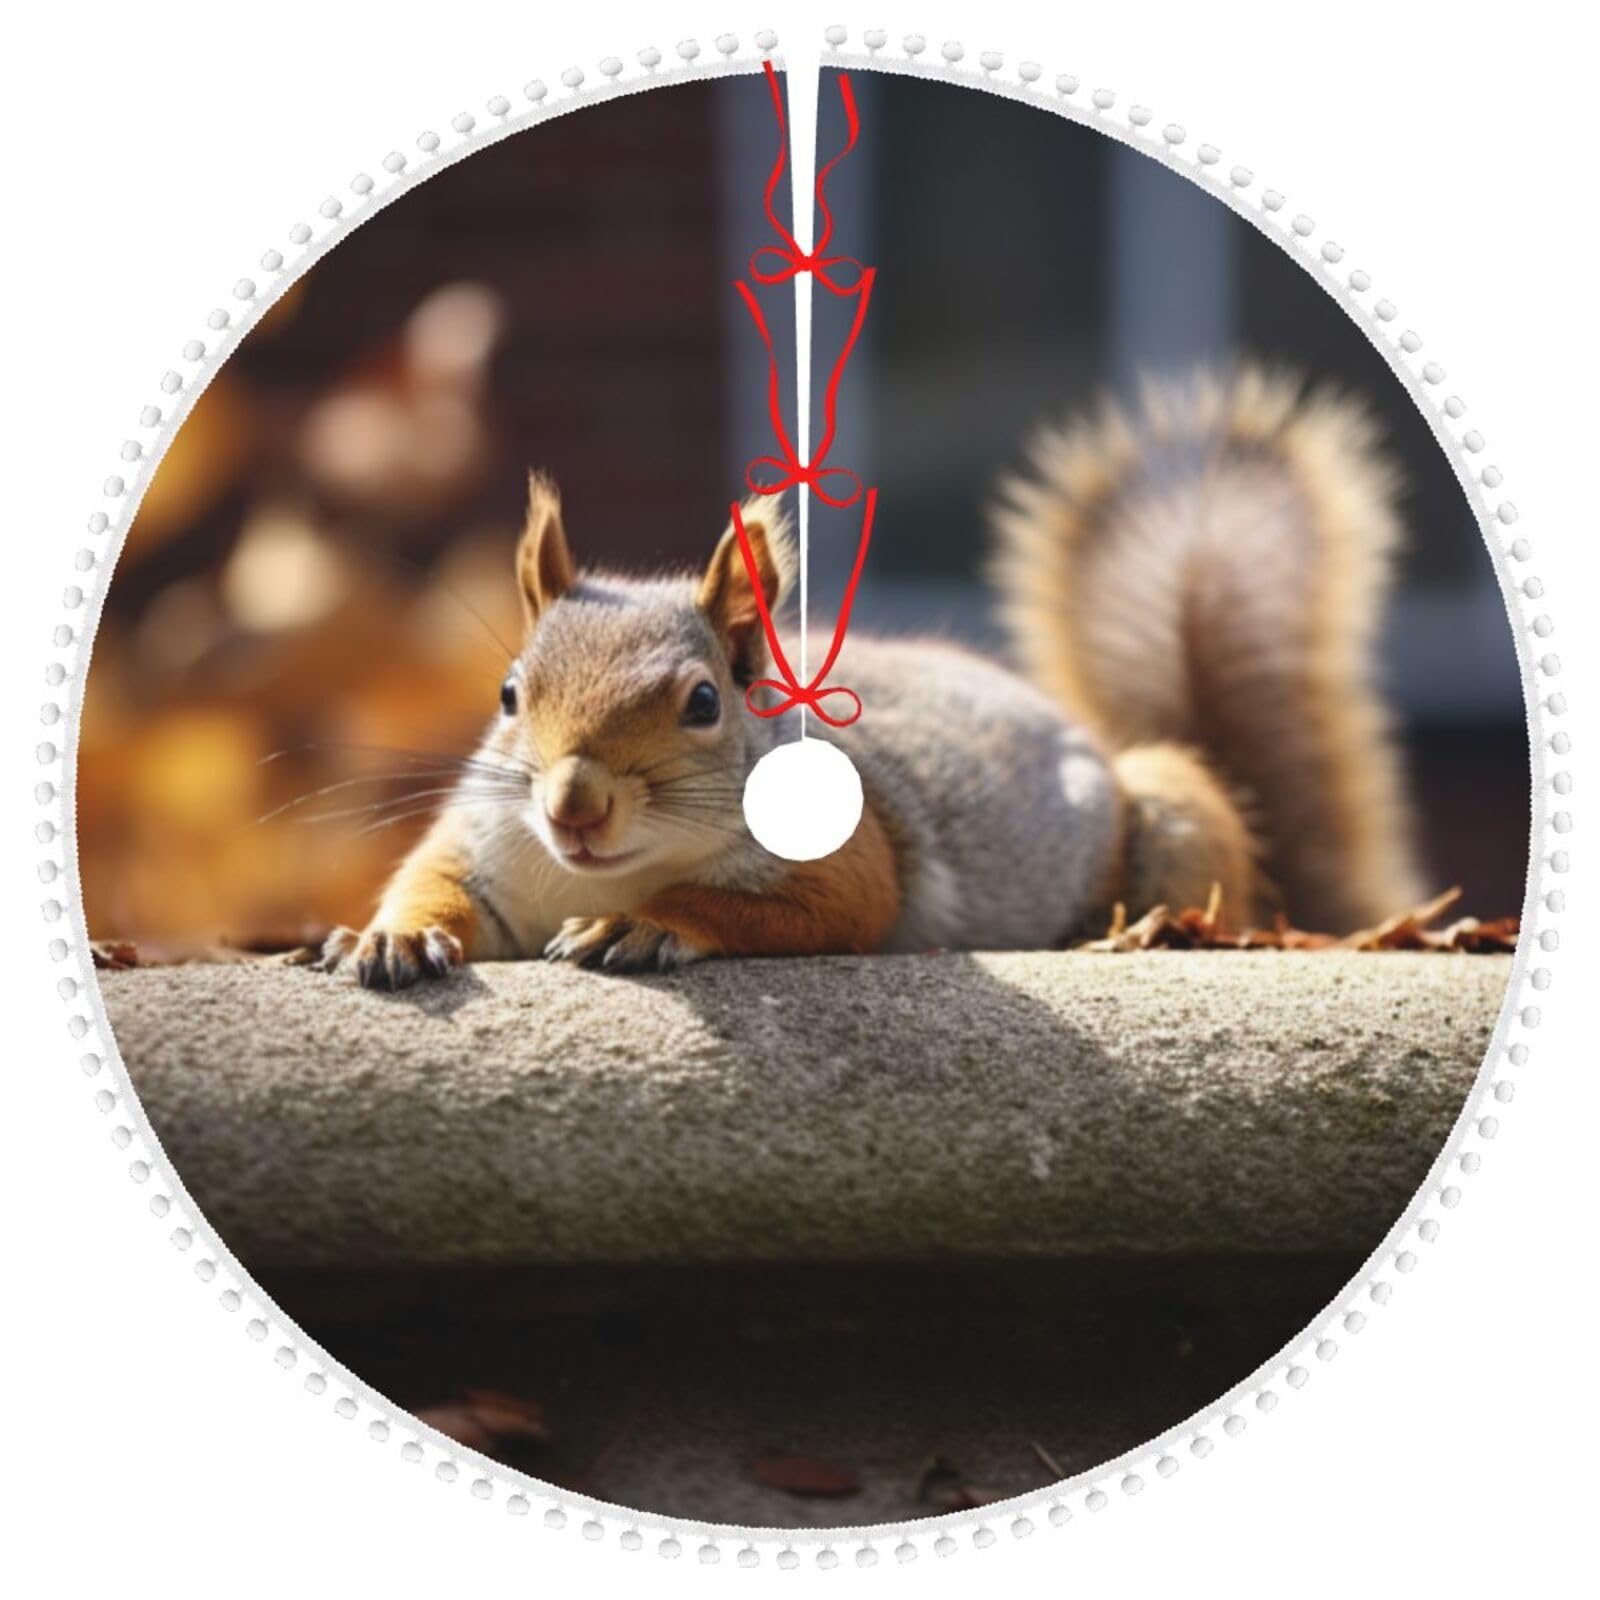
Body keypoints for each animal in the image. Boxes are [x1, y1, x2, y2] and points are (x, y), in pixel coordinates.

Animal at [317, 365, 1424, 988]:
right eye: (509, 695)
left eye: (704, 702)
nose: (573, 805)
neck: (607, 867)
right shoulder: (485, 845)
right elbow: (433, 881)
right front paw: (387, 939)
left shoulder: (846, 863)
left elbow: (798, 907)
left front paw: (644, 924)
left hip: (1173, 819)